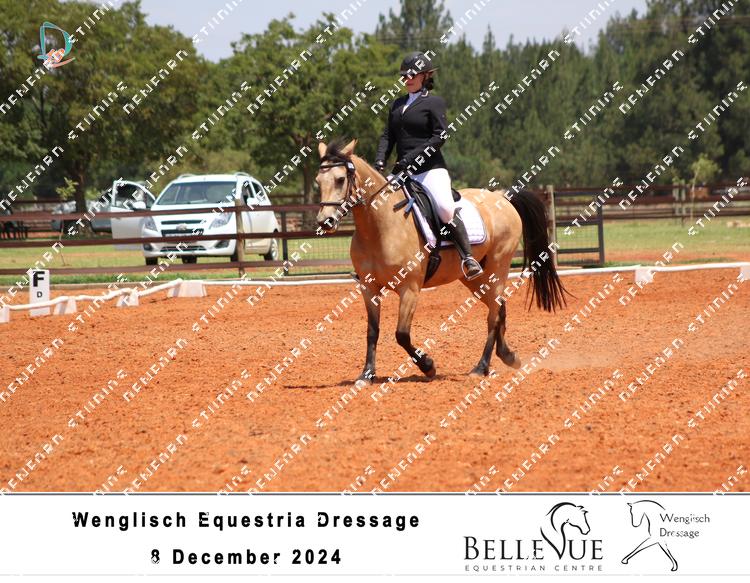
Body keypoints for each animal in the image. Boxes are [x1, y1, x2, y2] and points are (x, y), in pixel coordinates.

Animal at [315, 139, 567, 383]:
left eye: (340, 179)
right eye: (318, 181)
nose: (325, 222)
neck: (379, 225)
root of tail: (501, 197)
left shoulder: (410, 288)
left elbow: (401, 334)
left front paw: (428, 366)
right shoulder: (369, 287)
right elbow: (372, 331)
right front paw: (366, 375)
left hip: (498, 266)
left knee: (494, 316)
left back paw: (481, 367)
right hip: (476, 278)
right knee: (499, 308)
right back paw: (508, 356)